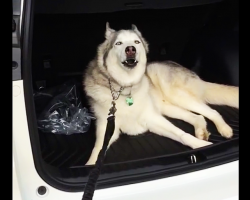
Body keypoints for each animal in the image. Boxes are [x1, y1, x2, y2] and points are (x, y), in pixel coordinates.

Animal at [83, 22, 239, 165]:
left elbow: (182, 134)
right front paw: (89, 165)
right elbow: (96, 152)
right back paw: (201, 130)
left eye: (136, 42)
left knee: (212, 111)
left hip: (176, 95)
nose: (130, 49)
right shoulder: (106, 128)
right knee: (198, 117)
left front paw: (203, 147)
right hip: (167, 106)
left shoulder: (153, 118)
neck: (125, 89)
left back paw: (224, 129)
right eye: (118, 43)